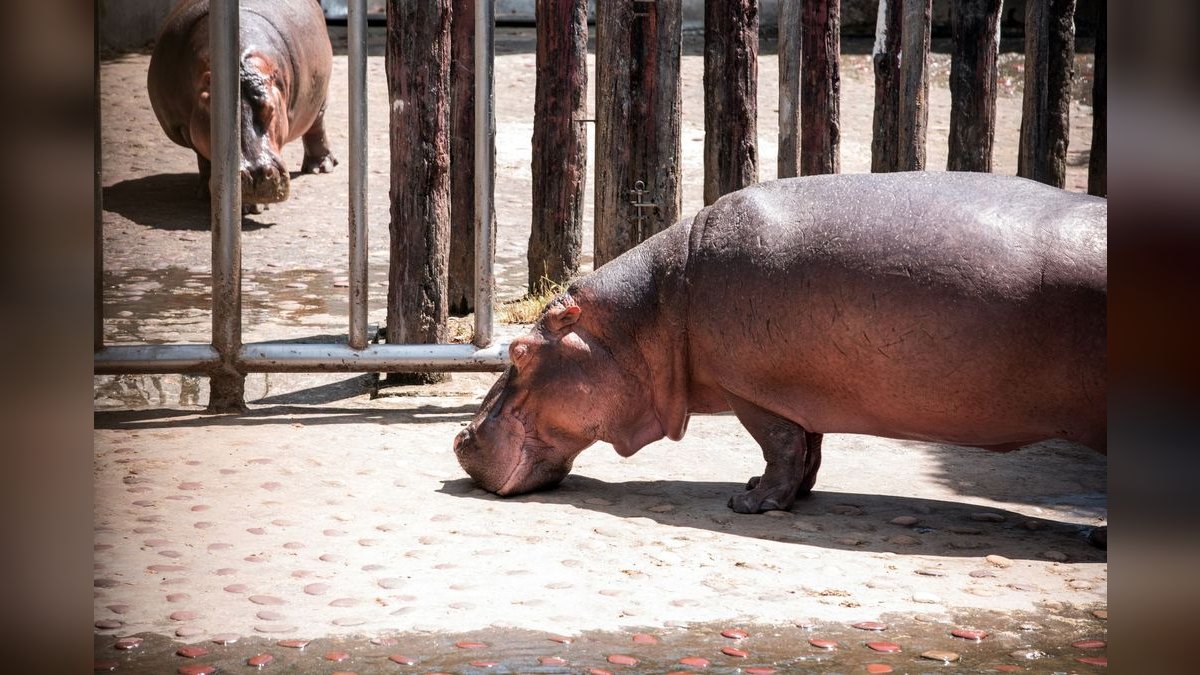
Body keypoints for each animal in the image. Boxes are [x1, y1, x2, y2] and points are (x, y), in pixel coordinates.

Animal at [147, 0, 337, 211]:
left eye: (270, 109)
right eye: (217, 117)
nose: (256, 174)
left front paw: (252, 205)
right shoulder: (185, 126)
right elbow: (203, 157)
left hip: (320, 98)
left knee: (316, 127)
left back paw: (320, 168)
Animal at [454, 172, 1107, 515]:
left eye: (518, 352)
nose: (460, 438)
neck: (649, 315)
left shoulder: (753, 391)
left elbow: (781, 445)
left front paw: (750, 504)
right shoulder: (798, 387)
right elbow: (810, 447)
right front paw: (775, 493)